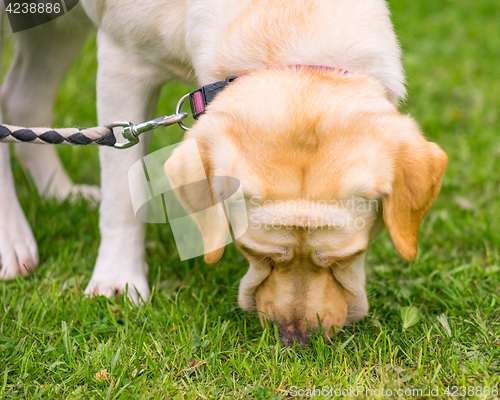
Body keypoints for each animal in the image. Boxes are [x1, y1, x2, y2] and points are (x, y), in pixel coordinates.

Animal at [0, 0, 446, 344]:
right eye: (254, 253)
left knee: (22, 98)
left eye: (348, 257)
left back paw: (60, 192)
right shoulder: (121, 61)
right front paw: (116, 281)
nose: (296, 339)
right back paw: (13, 243)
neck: (283, 25)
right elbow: (122, 195)